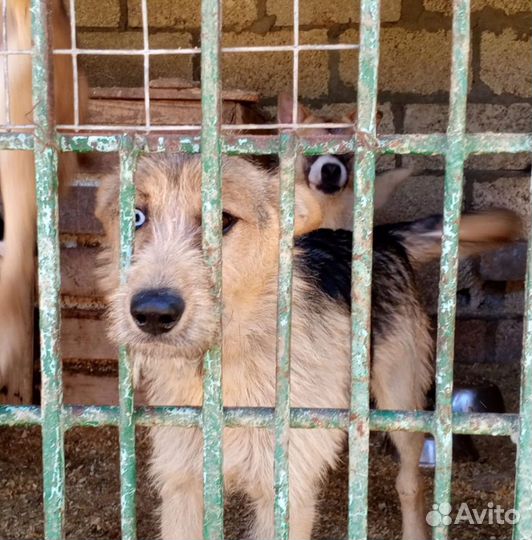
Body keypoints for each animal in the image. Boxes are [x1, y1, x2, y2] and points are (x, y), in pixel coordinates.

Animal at [94, 153, 520, 540]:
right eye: (135, 218)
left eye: (222, 220)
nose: (152, 313)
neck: (228, 370)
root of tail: (377, 236)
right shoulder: (182, 486)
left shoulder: (286, 493)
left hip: (401, 403)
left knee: (409, 482)